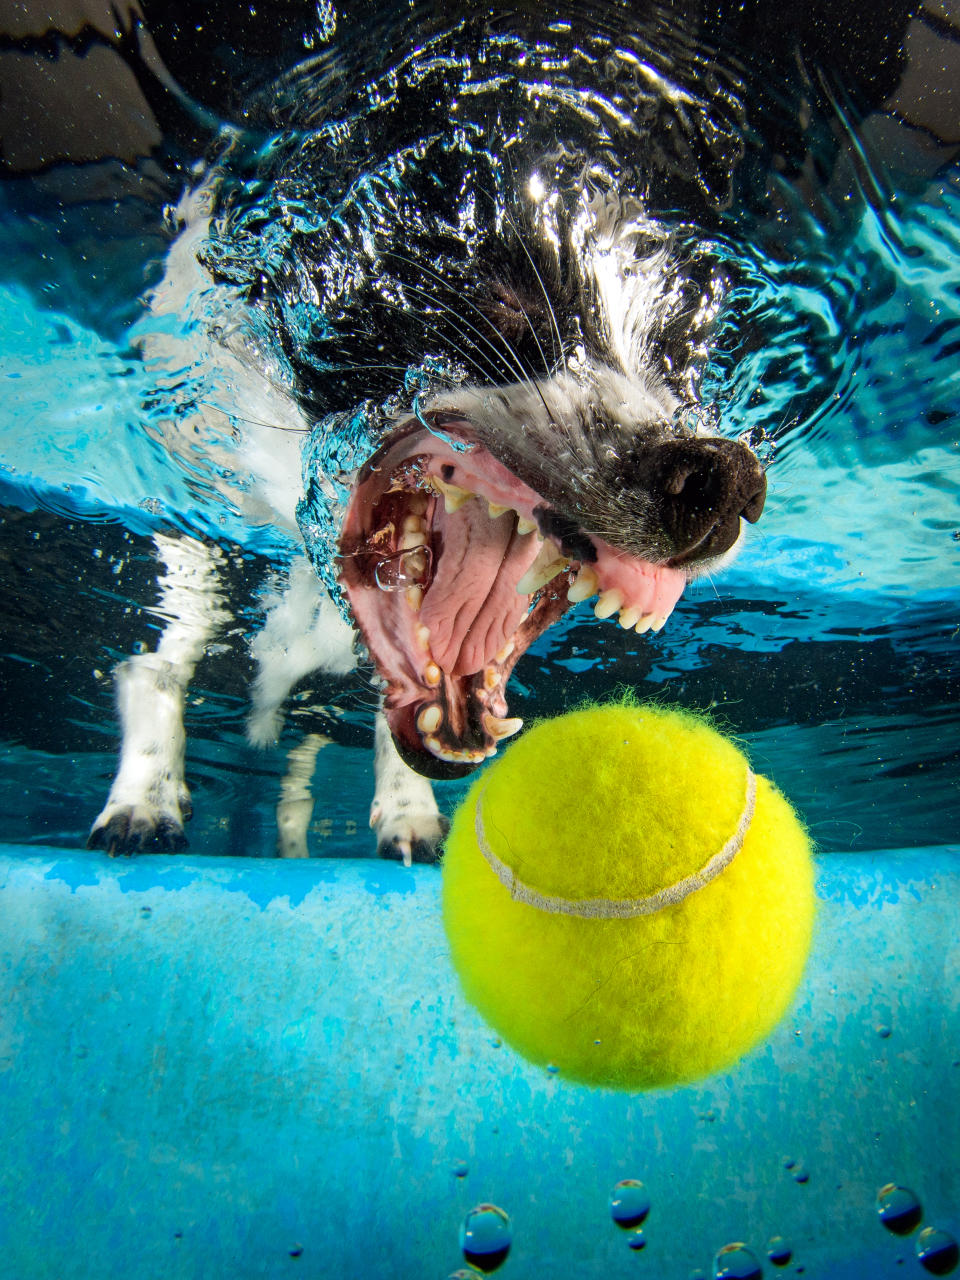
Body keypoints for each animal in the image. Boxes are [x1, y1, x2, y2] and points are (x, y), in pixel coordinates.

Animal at [84, 2, 916, 860]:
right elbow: (168, 645)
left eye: (685, 355)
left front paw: (408, 809)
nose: (722, 477)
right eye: (499, 295)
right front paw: (145, 792)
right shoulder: (187, 459)